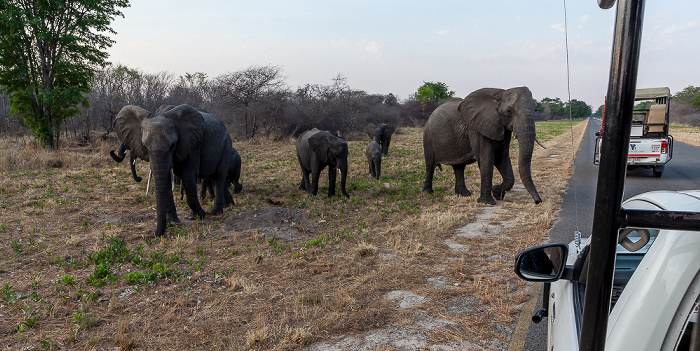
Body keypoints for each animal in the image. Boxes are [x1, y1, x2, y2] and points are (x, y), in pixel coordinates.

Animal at [115, 104, 235, 236]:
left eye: (173, 145)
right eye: (145, 146)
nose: (153, 233)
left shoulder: (192, 144)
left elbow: (188, 176)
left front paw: (198, 216)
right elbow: (166, 181)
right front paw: (173, 222)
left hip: (226, 146)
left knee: (219, 176)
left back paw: (216, 212)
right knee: (215, 176)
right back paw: (229, 204)